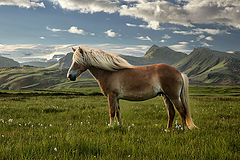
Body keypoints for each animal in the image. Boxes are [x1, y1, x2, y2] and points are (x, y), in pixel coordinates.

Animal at [67, 46, 197, 130]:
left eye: (77, 61)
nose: (69, 76)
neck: (110, 72)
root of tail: (179, 72)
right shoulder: (116, 98)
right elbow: (118, 112)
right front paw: (120, 127)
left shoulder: (111, 96)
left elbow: (111, 112)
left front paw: (111, 126)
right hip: (166, 97)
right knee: (171, 112)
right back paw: (167, 130)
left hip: (173, 96)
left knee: (182, 111)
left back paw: (183, 129)